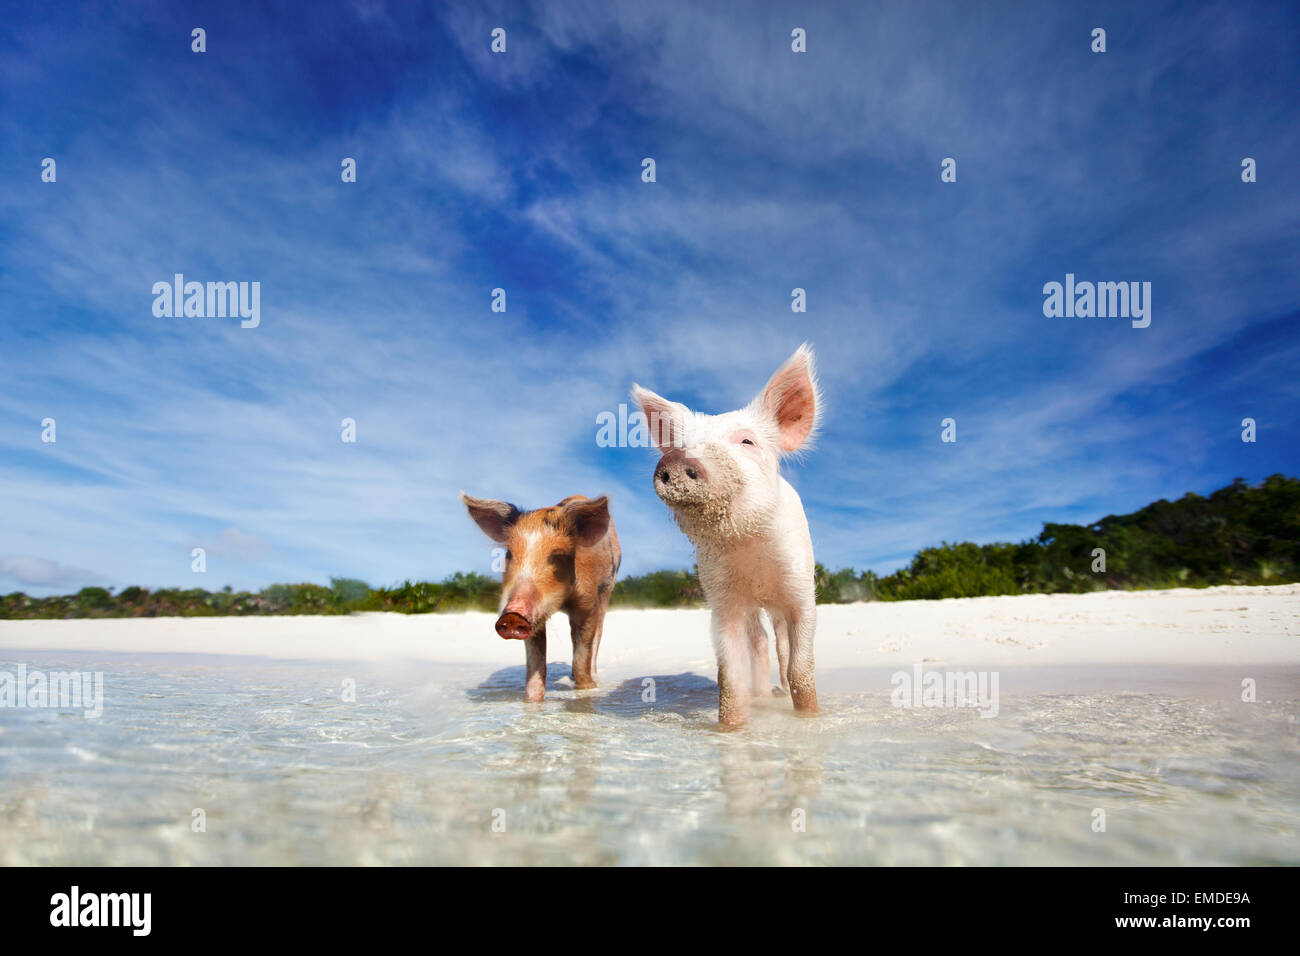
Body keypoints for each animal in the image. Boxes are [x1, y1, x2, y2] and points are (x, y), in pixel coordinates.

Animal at [631, 343, 821, 723]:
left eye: (747, 441)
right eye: (682, 444)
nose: (675, 461)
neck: (748, 546)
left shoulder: (801, 587)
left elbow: (800, 667)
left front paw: (811, 717)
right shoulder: (722, 597)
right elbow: (730, 677)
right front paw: (731, 728)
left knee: (779, 644)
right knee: (759, 643)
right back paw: (763, 696)